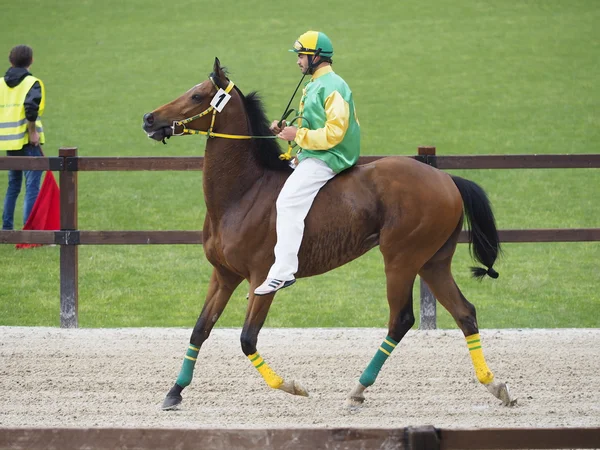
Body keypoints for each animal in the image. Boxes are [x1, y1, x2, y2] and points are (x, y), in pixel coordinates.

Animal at [142, 59, 516, 412]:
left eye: (196, 96)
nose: (149, 118)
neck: (244, 193)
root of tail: (447, 179)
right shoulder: (224, 275)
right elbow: (200, 329)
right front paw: (174, 391)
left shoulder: (261, 278)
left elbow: (247, 339)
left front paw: (292, 386)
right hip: (432, 262)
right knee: (465, 312)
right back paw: (496, 386)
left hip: (401, 259)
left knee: (401, 319)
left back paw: (358, 389)